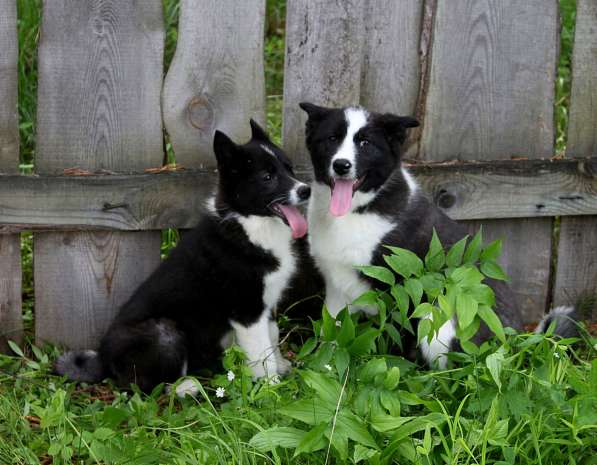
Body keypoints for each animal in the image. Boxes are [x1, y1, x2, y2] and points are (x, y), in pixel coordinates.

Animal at [54, 118, 312, 394]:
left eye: (289, 168)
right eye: (267, 177)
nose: (306, 190)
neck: (247, 224)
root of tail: (103, 361)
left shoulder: (267, 303)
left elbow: (272, 335)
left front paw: (281, 367)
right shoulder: (247, 312)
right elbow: (261, 353)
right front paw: (270, 389)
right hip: (165, 332)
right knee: (140, 385)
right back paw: (186, 387)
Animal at [300, 103, 580, 368]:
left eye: (365, 143)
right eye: (332, 138)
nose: (341, 165)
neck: (360, 208)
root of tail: (514, 342)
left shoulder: (397, 290)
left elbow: (393, 336)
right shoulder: (336, 287)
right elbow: (330, 333)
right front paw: (323, 365)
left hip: (439, 318)